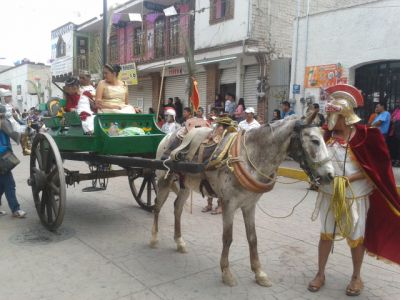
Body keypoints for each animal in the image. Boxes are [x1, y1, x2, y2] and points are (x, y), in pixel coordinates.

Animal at [148, 113, 332, 288]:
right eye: (315, 141)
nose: (330, 175)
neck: (249, 157)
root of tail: (169, 135)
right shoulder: (228, 204)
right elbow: (227, 238)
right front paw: (226, 273)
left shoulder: (249, 205)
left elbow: (253, 238)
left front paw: (259, 273)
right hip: (163, 180)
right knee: (157, 206)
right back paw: (154, 239)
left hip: (186, 185)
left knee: (177, 208)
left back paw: (179, 242)